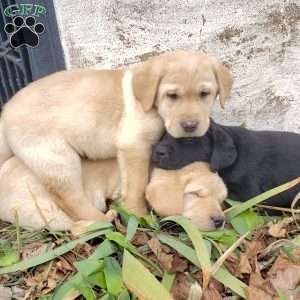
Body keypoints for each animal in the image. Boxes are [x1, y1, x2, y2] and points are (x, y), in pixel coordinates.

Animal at [0, 51, 233, 220]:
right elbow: (138, 186)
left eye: (204, 94)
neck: (151, 104)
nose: (190, 125)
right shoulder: (134, 146)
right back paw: (101, 220)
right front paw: (139, 216)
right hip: (58, 159)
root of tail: (5, 112)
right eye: (172, 96)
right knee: (71, 200)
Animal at [0, 159, 226, 232]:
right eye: (195, 194)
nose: (220, 221)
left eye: (222, 200)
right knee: (76, 228)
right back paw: (107, 217)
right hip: (50, 213)